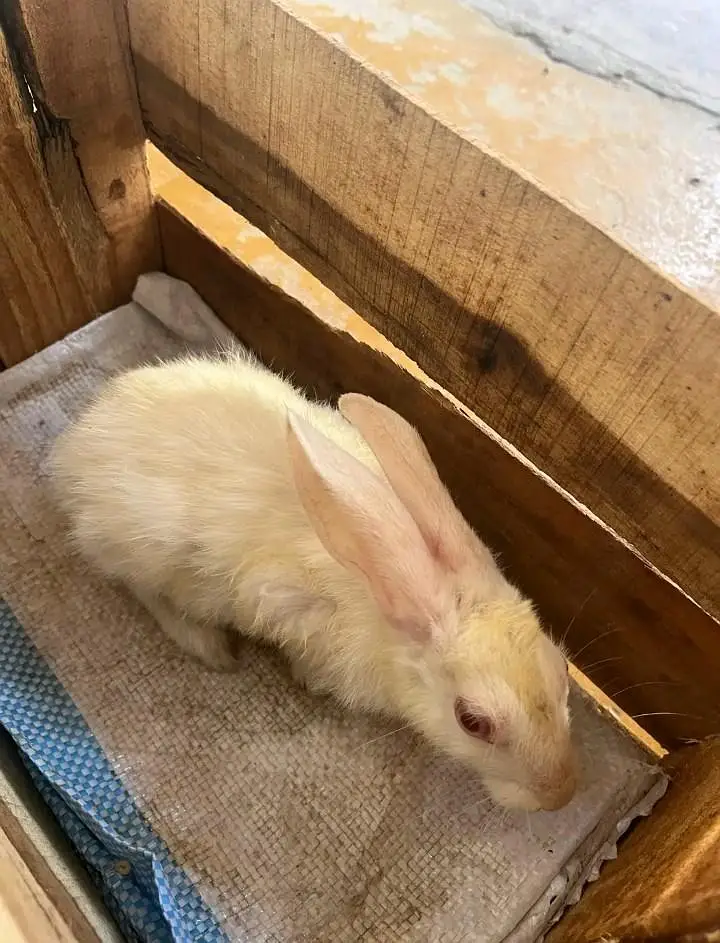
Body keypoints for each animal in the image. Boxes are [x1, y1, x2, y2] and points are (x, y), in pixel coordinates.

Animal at [50, 350, 577, 812]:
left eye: (562, 670)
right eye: (472, 722)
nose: (559, 797)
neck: (386, 607)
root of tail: (77, 445)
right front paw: (306, 681)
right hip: (148, 552)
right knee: (145, 590)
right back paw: (209, 647)